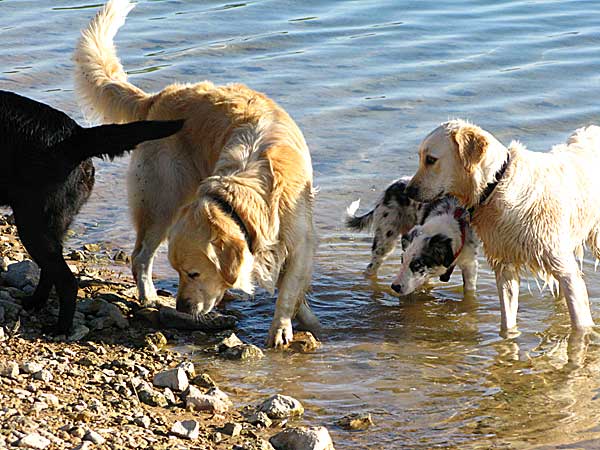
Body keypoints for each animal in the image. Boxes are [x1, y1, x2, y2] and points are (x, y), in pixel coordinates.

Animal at [0, 90, 183, 334]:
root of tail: (76, 135)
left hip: (33, 224)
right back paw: (35, 303)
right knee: (51, 271)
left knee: (67, 281)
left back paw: (60, 329)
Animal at [406, 121, 600, 332]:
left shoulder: (565, 269)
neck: (495, 185)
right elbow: (507, 321)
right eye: (420, 157)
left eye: (430, 160)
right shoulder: (505, 266)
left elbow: (580, 324)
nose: (408, 191)